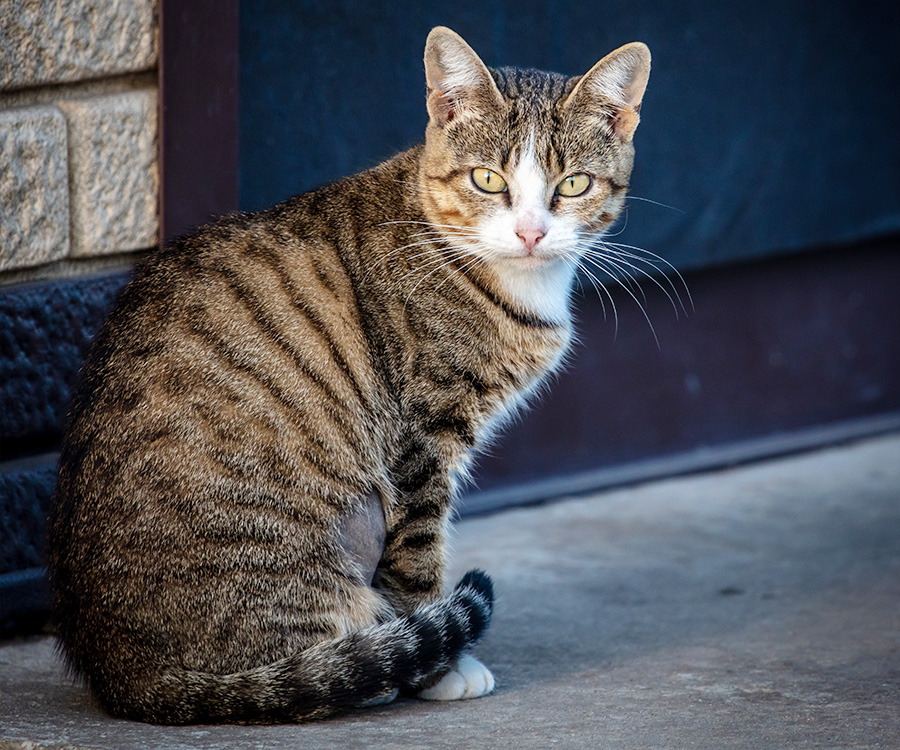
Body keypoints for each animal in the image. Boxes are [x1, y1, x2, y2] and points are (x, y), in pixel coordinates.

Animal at [49, 26, 652, 724]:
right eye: (487, 179)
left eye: (574, 184)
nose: (531, 232)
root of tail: (122, 671)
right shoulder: (420, 439)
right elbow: (419, 554)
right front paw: (439, 667)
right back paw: (369, 660)